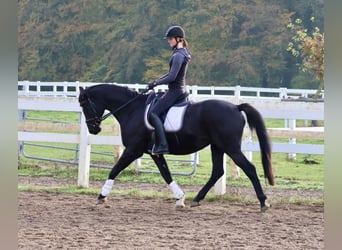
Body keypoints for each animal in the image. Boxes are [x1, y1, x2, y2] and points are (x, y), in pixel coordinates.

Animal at [79, 84, 274, 211]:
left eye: (84, 105)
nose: (94, 129)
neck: (132, 109)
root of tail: (235, 106)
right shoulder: (155, 153)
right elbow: (166, 174)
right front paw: (180, 198)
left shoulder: (133, 150)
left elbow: (115, 169)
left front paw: (101, 197)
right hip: (217, 147)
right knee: (218, 171)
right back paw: (197, 199)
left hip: (230, 147)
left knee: (249, 168)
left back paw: (263, 202)